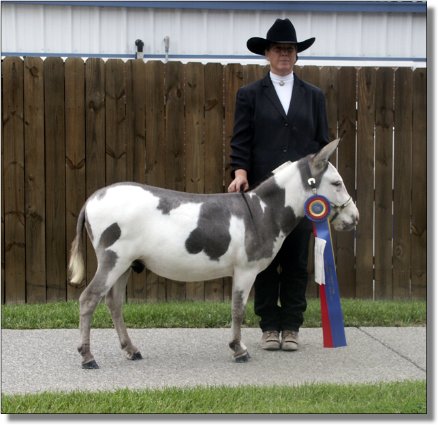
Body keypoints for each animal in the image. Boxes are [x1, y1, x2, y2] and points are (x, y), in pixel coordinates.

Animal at [68, 139, 359, 369]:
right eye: (337, 183)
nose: (355, 218)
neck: (262, 211)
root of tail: (92, 198)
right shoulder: (245, 271)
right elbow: (238, 310)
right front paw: (239, 350)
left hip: (126, 264)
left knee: (114, 303)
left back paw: (131, 350)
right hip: (113, 260)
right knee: (88, 299)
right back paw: (87, 357)